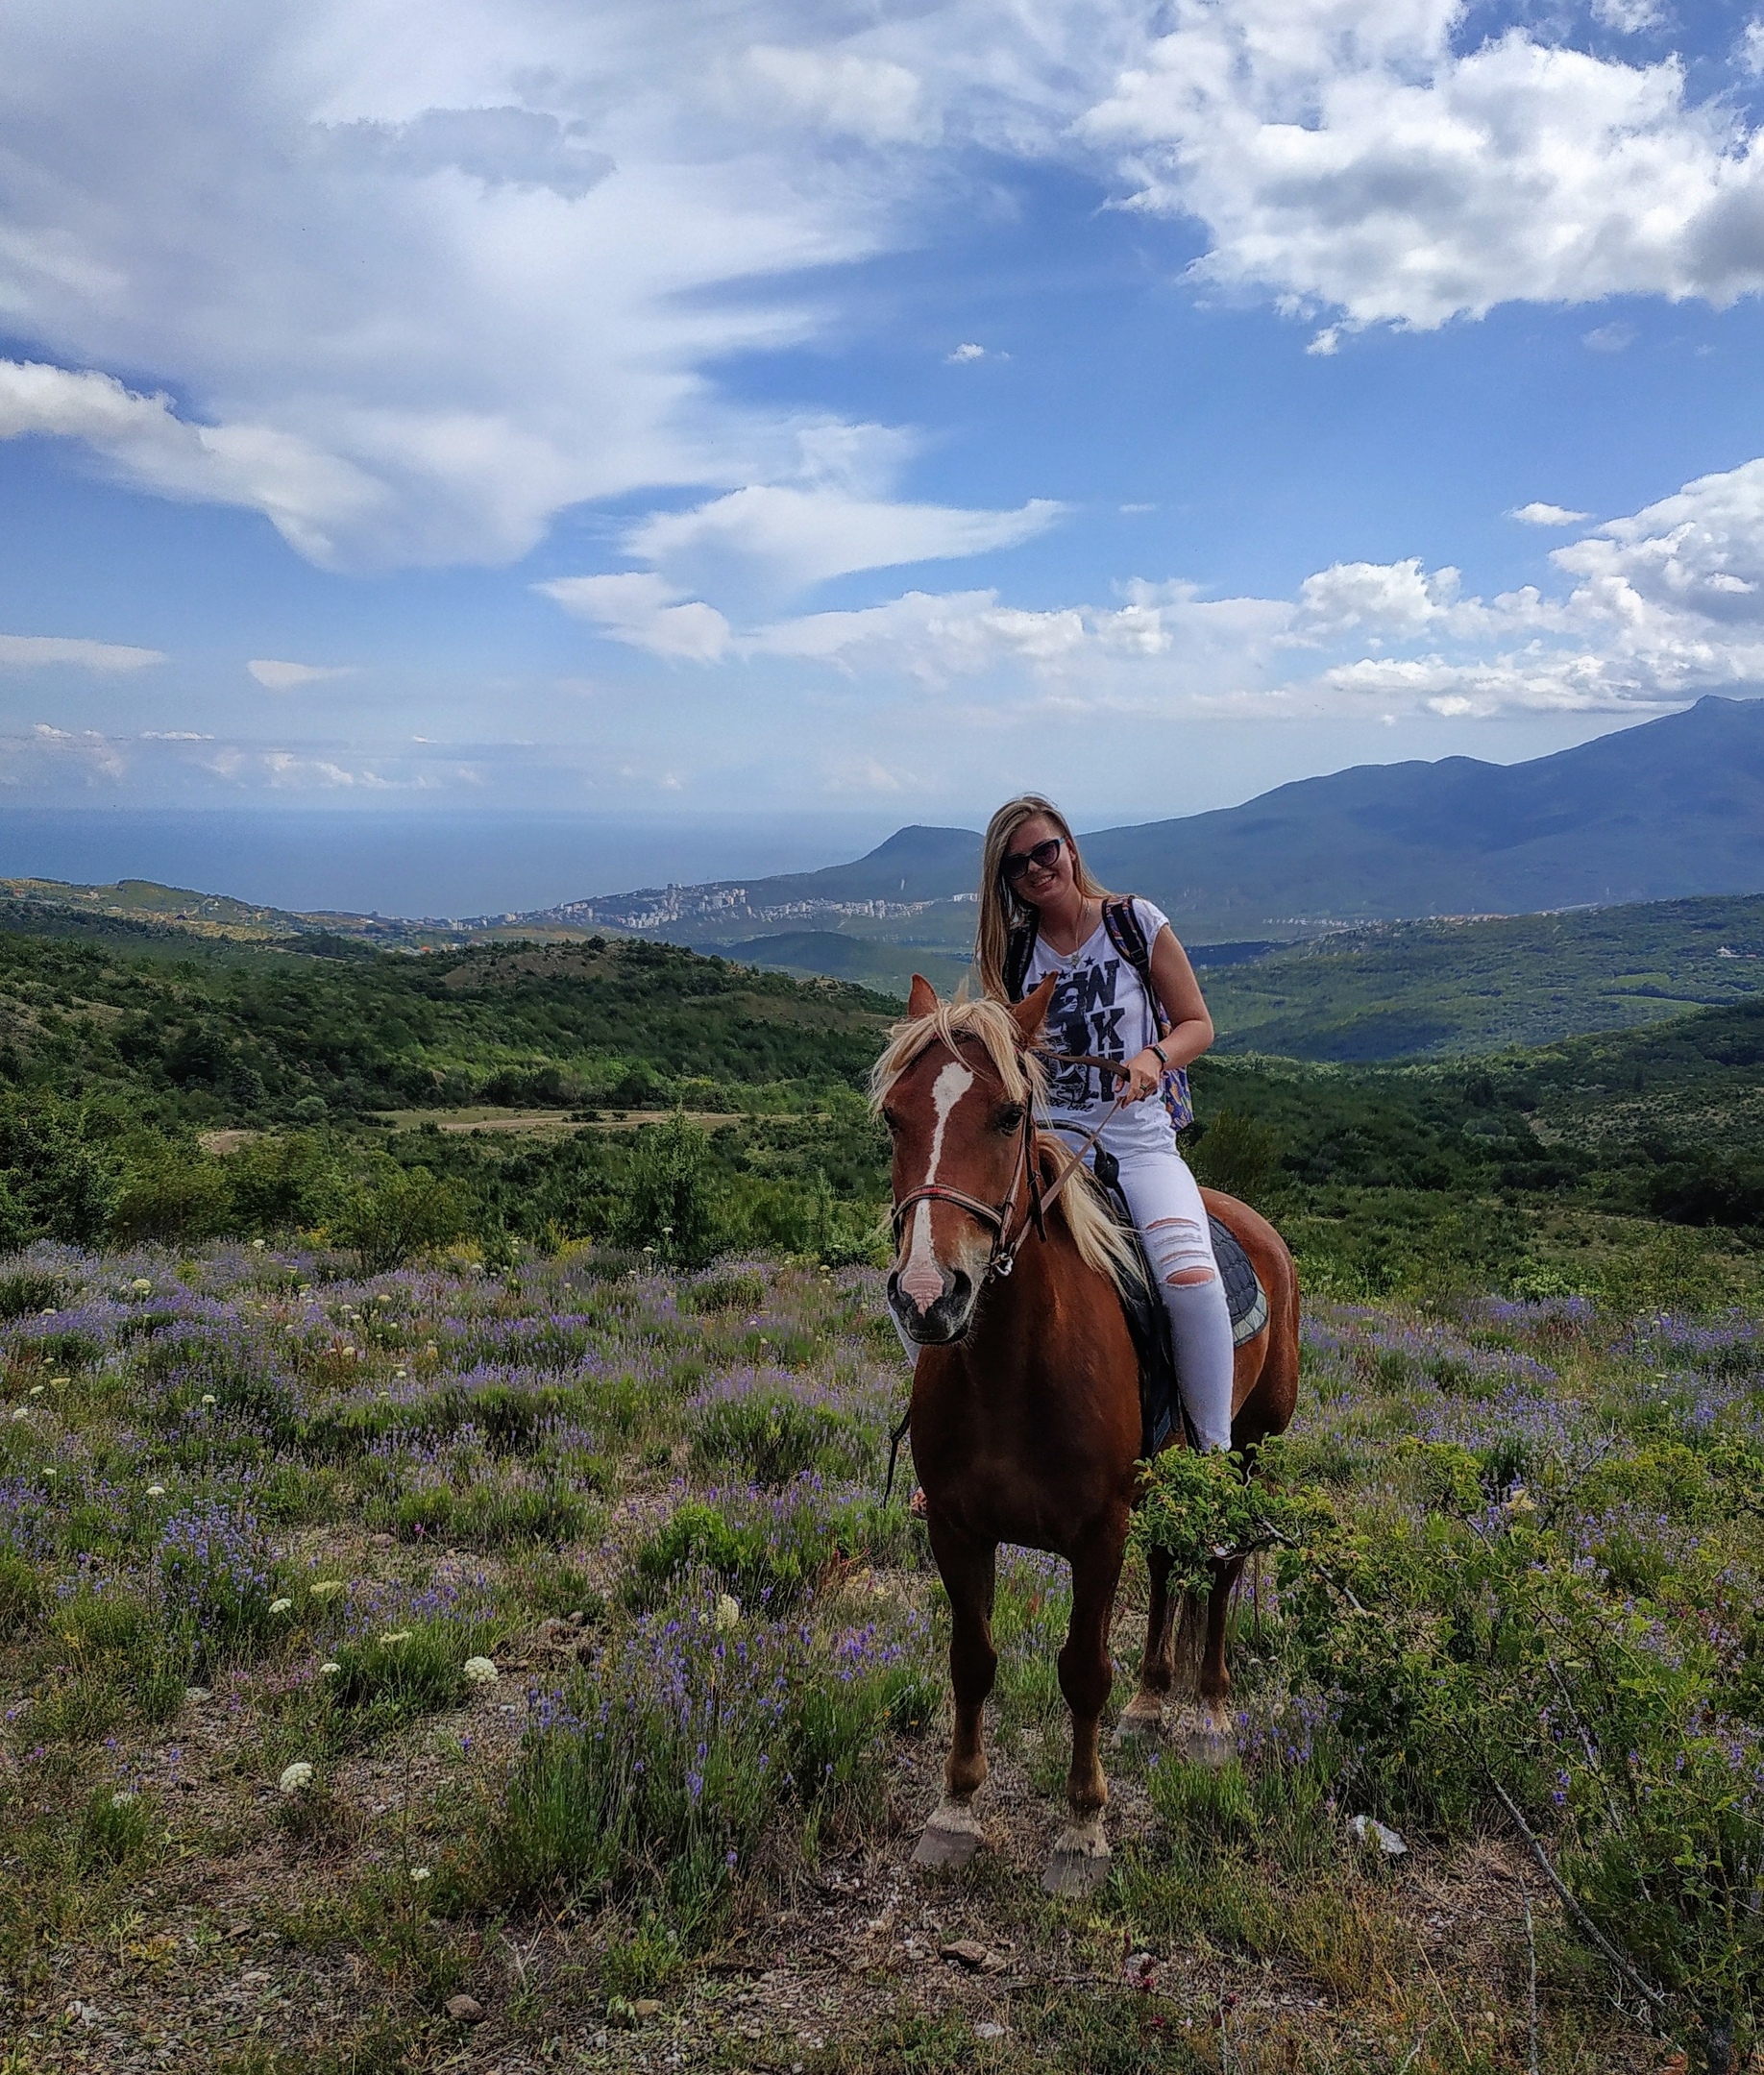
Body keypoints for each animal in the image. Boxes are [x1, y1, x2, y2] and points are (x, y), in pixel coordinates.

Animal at [875, 970, 1303, 1900]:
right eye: (894, 1116)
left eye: (1009, 1114)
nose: (927, 1295)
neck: (1011, 1369)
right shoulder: (958, 1530)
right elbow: (971, 1658)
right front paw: (956, 1810)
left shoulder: (1097, 1535)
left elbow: (1081, 1671)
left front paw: (1082, 1827)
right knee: (1171, 1564)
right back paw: (1151, 1701)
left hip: (1249, 1453)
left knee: (1222, 1567)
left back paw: (1209, 1712)